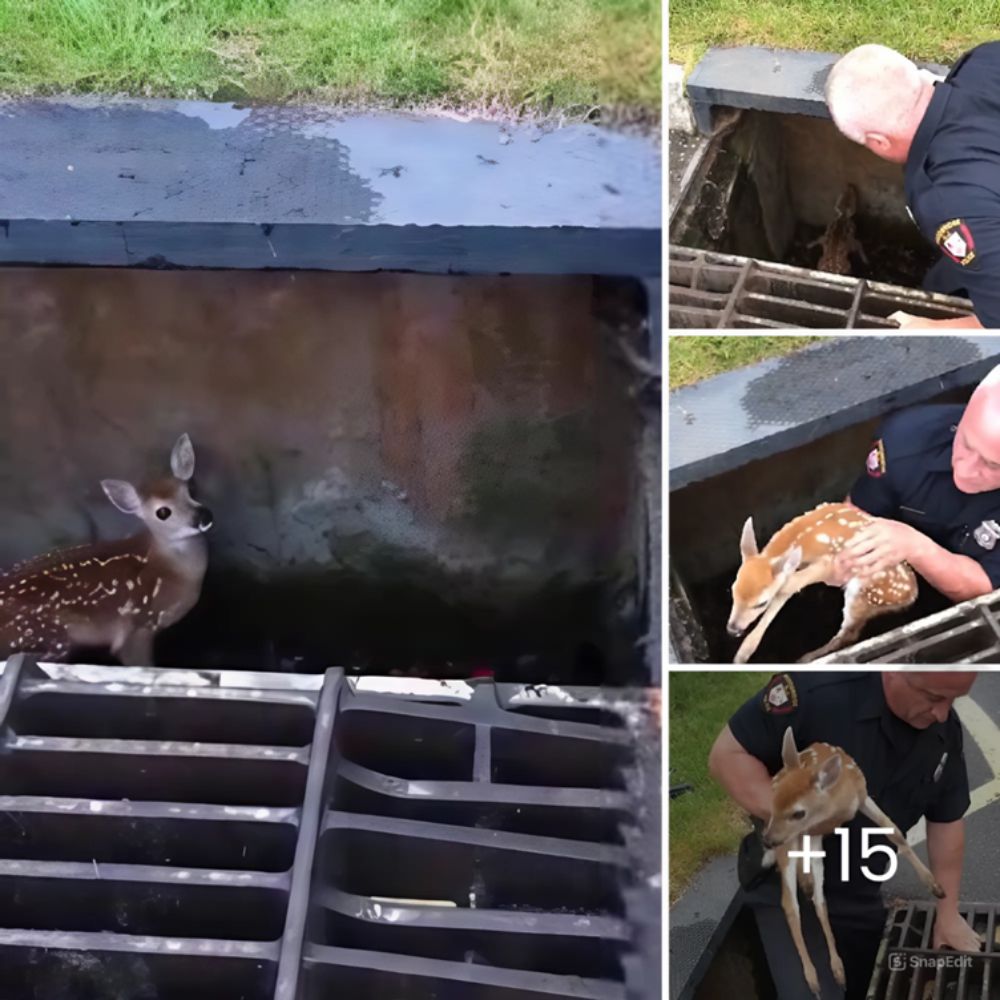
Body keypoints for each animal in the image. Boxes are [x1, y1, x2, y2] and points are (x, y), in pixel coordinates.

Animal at [728, 500, 916, 664]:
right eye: (732, 591)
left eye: (761, 603)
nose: (732, 629)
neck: (806, 536)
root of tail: (910, 595)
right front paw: (742, 654)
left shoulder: (829, 562)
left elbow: (789, 586)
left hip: (864, 592)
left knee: (849, 633)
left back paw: (806, 658)